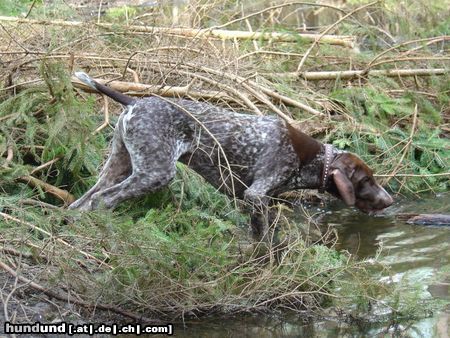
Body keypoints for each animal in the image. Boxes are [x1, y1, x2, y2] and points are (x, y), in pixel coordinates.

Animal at [70, 72, 394, 239]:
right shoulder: (257, 195)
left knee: (84, 200)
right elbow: (267, 239)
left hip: (119, 164)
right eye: (367, 180)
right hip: (155, 172)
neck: (308, 159)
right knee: (104, 200)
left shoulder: (259, 201)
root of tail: (134, 102)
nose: (390, 200)